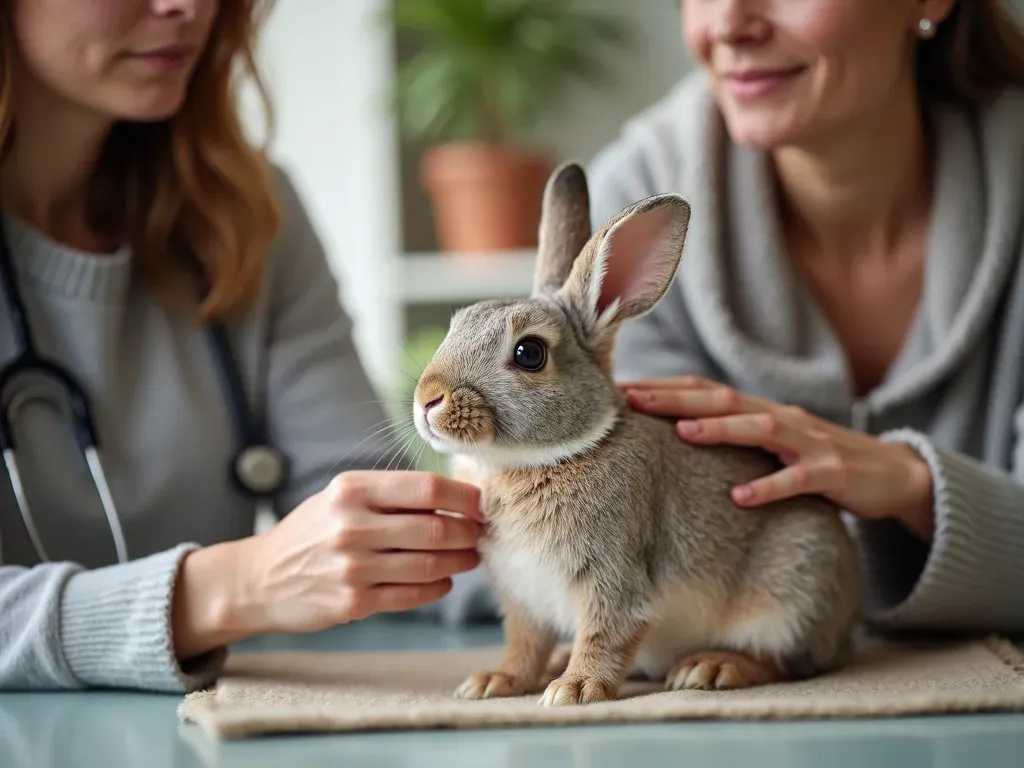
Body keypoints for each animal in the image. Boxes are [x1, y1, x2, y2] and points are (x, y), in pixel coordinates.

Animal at [411, 162, 860, 708]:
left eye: (529, 353)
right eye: (454, 326)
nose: (427, 399)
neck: (541, 458)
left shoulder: (613, 576)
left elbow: (606, 633)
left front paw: (575, 690)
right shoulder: (523, 598)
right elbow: (525, 645)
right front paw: (494, 682)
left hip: (793, 586)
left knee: (780, 659)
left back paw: (710, 668)